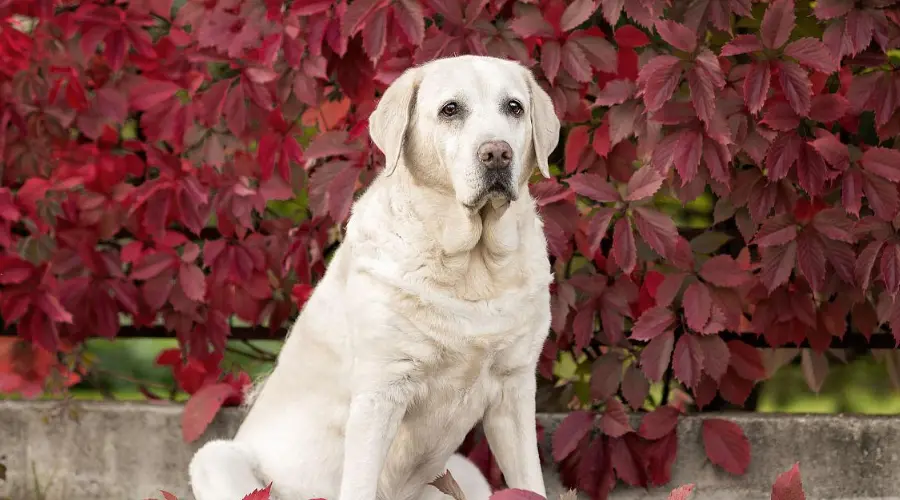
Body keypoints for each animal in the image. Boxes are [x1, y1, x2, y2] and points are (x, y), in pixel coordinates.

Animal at [188, 54, 564, 500]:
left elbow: (530, 482)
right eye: (450, 109)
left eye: (514, 108)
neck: (471, 267)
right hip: (215, 459)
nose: (497, 153)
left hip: (465, 472)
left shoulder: (514, 388)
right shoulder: (380, 392)